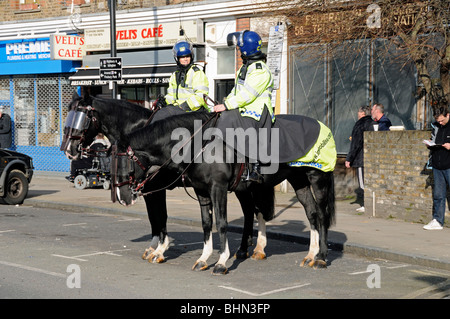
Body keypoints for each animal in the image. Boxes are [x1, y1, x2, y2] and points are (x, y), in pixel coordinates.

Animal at [60, 92, 268, 264]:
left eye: (81, 118)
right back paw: (245, 247)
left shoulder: (156, 188)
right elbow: (154, 217)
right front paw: (154, 246)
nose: (68, 149)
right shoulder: (147, 189)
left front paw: (160, 249)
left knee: (255, 210)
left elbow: (161, 215)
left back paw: (254, 247)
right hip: (241, 186)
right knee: (249, 210)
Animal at [114, 111, 336, 274]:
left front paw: (221, 261)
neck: (200, 145)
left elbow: (220, 223)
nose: (123, 197)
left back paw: (321, 257)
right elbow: (205, 223)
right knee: (310, 213)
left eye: (127, 164)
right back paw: (309, 254)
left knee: (322, 215)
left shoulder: (217, 188)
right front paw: (203, 258)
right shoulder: (201, 190)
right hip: (297, 181)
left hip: (317, 178)